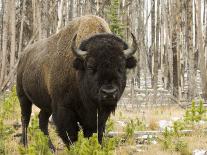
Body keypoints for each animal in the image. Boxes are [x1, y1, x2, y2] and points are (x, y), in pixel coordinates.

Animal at [16, 15, 137, 151]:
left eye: (121, 67)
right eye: (90, 67)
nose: (109, 93)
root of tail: (23, 56)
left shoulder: (99, 115)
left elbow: (96, 133)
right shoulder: (64, 109)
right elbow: (70, 135)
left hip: (46, 105)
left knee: (42, 120)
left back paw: (51, 148)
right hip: (23, 97)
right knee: (25, 119)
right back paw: (25, 144)